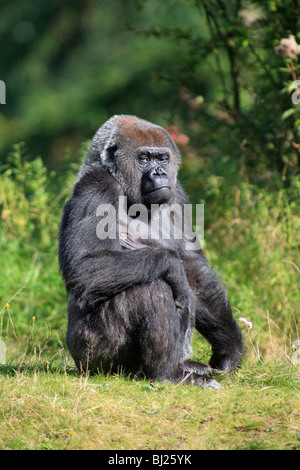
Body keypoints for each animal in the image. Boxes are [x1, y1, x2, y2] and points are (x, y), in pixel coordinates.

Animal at [59, 114, 244, 390]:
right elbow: (84, 267)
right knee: (149, 285)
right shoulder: (97, 187)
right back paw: (167, 373)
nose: (160, 172)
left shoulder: (177, 195)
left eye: (163, 158)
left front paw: (229, 351)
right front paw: (172, 265)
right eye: (144, 159)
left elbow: (195, 271)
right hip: (91, 358)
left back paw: (185, 367)